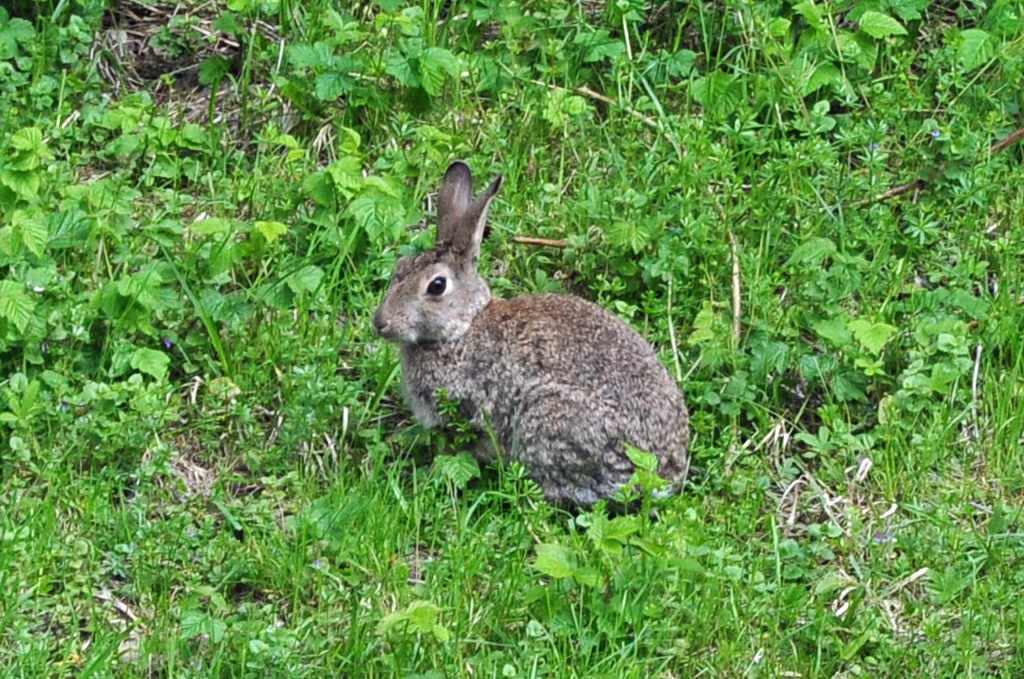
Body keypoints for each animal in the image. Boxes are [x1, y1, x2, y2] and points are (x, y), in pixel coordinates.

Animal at [372, 161, 692, 507]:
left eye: (437, 286)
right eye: (400, 266)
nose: (380, 322)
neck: (464, 328)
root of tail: (661, 475)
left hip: (547, 421)